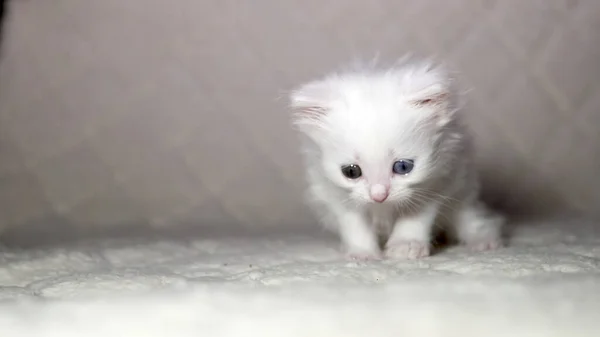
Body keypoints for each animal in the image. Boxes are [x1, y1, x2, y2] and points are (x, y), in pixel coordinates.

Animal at [288, 59, 504, 260]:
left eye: (402, 167)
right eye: (351, 171)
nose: (379, 196)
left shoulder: (440, 179)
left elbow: (415, 215)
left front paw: (406, 245)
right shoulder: (332, 191)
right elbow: (354, 221)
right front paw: (363, 252)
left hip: (462, 196)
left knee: (472, 219)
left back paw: (483, 241)